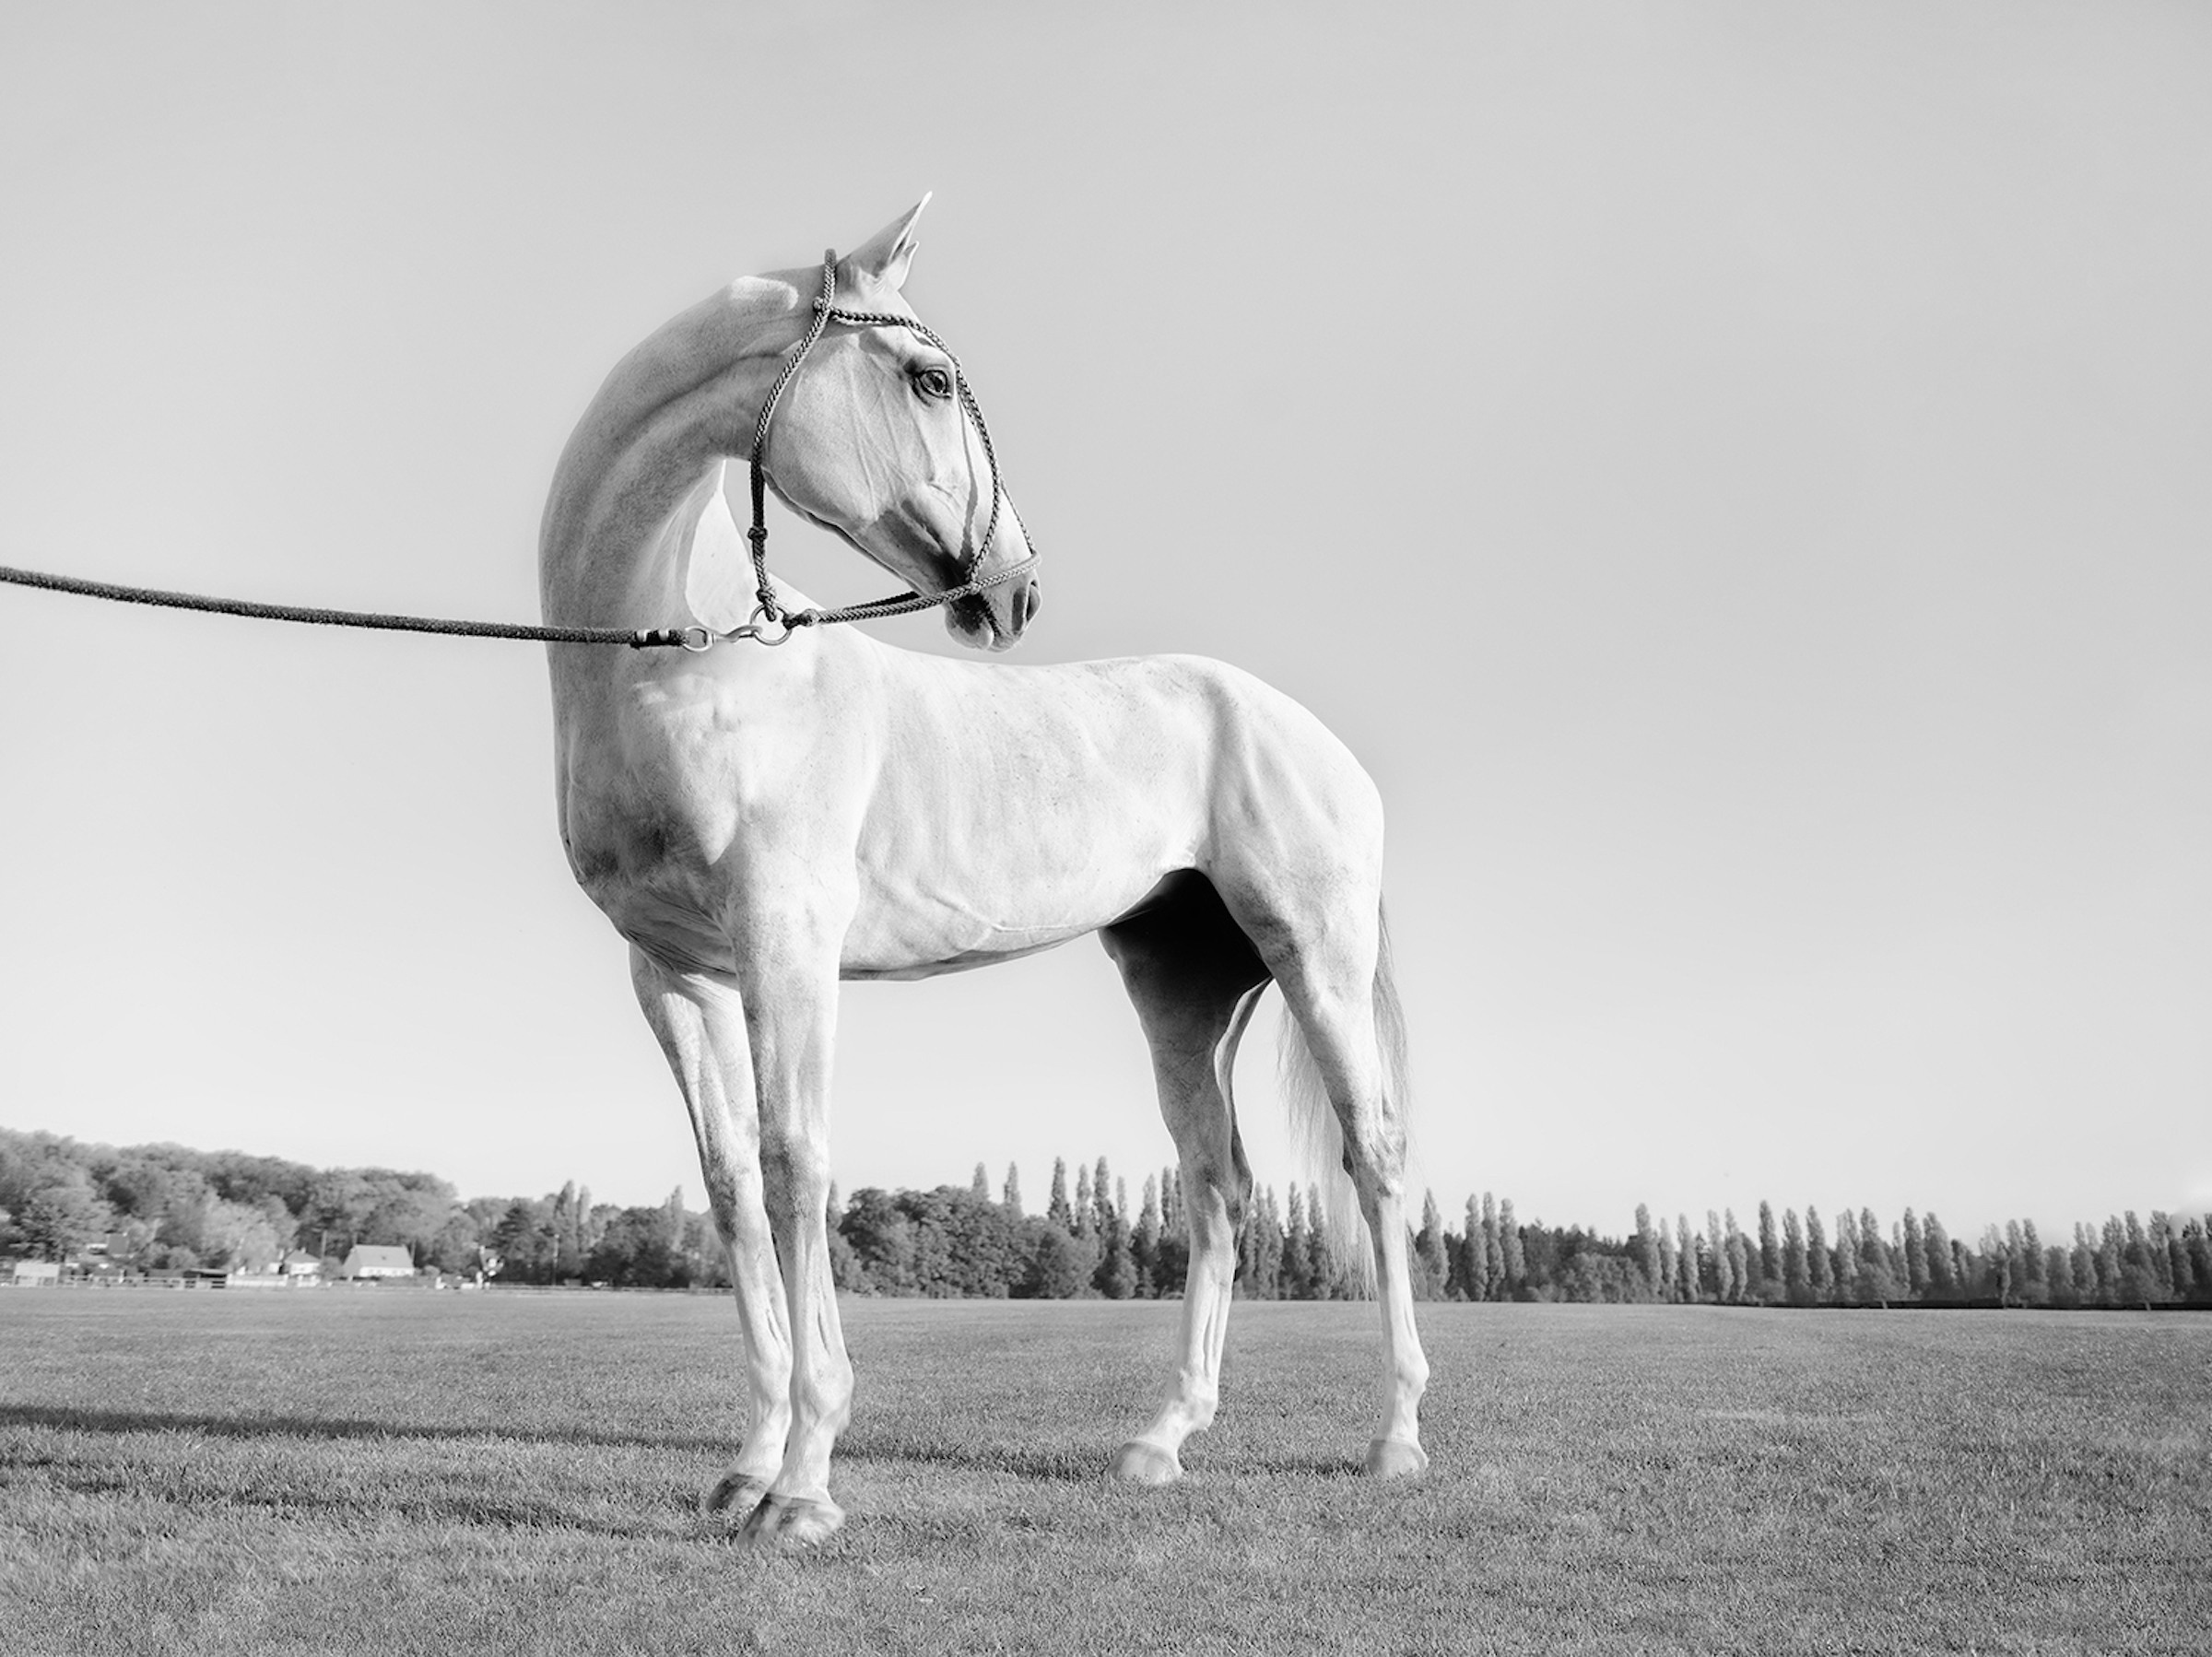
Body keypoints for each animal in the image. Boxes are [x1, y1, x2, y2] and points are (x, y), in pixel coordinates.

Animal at [539, 198, 1429, 1544]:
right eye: (927, 376)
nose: (1016, 589)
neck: (685, 660)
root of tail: (1312, 738)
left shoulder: (788, 941)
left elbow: (800, 1167)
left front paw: (804, 1486)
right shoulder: (679, 977)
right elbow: (736, 1184)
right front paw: (750, 1465)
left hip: (1315, 960)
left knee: (1372, 1162)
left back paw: (1397, 1436)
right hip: (1185, 988)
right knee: (1218, 1186)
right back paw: (1163, 1439)